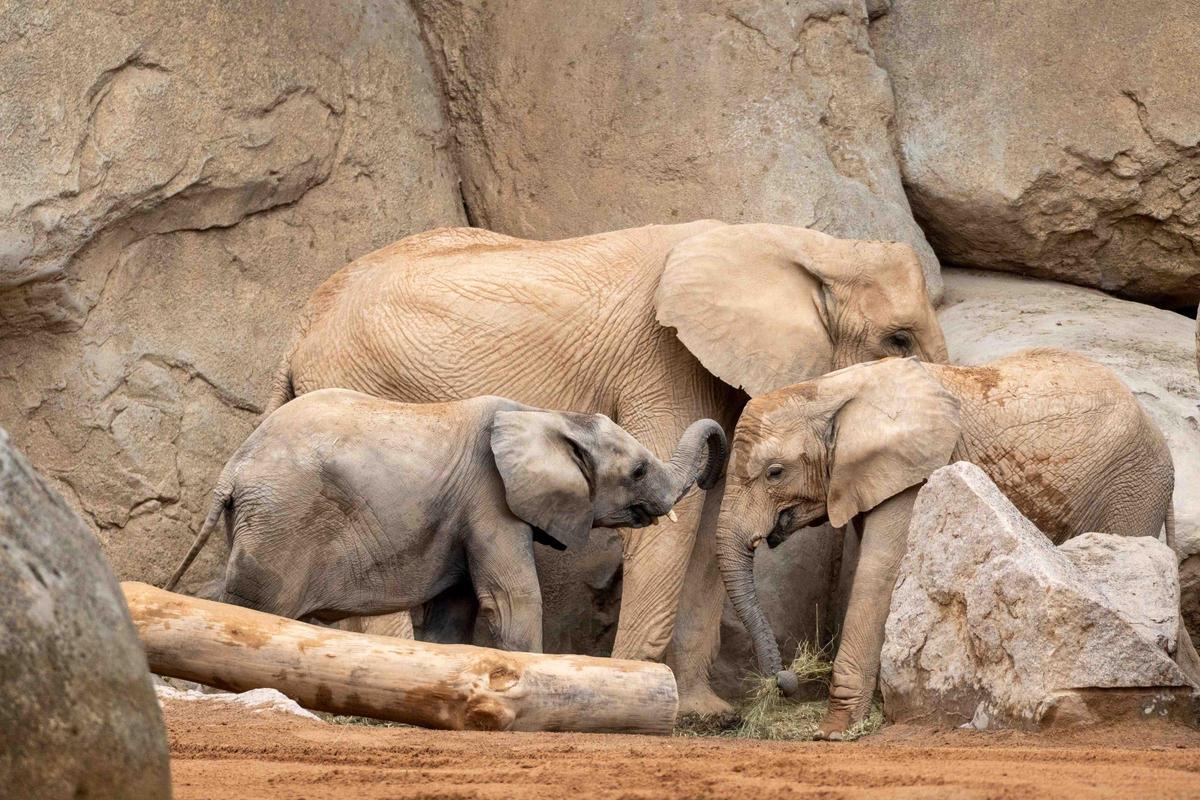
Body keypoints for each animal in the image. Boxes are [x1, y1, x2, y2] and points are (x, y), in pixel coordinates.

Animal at [165, 389, 726, 652]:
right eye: (637, 471)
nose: (715, 472)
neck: (544, 413)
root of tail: (234, 467)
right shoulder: (490, 499)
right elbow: (512, 598)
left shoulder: (464, 514)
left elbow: (453, 613)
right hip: (282, 515)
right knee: (254, 603)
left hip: (262, 518)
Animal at [261, 220, 946, 713]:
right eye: (898, 340)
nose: (788, 684)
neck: (804, 245)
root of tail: (298, 328)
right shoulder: (663, 358)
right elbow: (675, 525)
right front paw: (640, 689)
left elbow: (708, 524)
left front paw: (704, 715)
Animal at [717, 348, 1199, 739]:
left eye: (775, 473)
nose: (785, 681)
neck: (829, 389)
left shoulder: (915, 469)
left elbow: (879, 571)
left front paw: (833, 733)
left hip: (1131, 488)